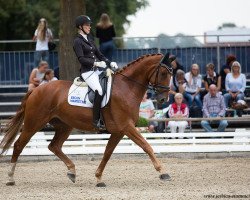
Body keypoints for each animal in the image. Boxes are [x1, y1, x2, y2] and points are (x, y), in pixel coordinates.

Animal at [0, 52, 172, 186]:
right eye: (163, 73)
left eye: (170, 74)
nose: (163, 99)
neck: (127, 88)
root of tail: (36, 90)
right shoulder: (126, 126)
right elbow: (146, 146)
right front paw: (163, 172)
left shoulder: (119, 131)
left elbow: (107, 153)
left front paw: (98, 178)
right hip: (34, 123)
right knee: (18, 145)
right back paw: (10, 178)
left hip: (64, 126)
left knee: (54, 146)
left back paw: (72, 172)